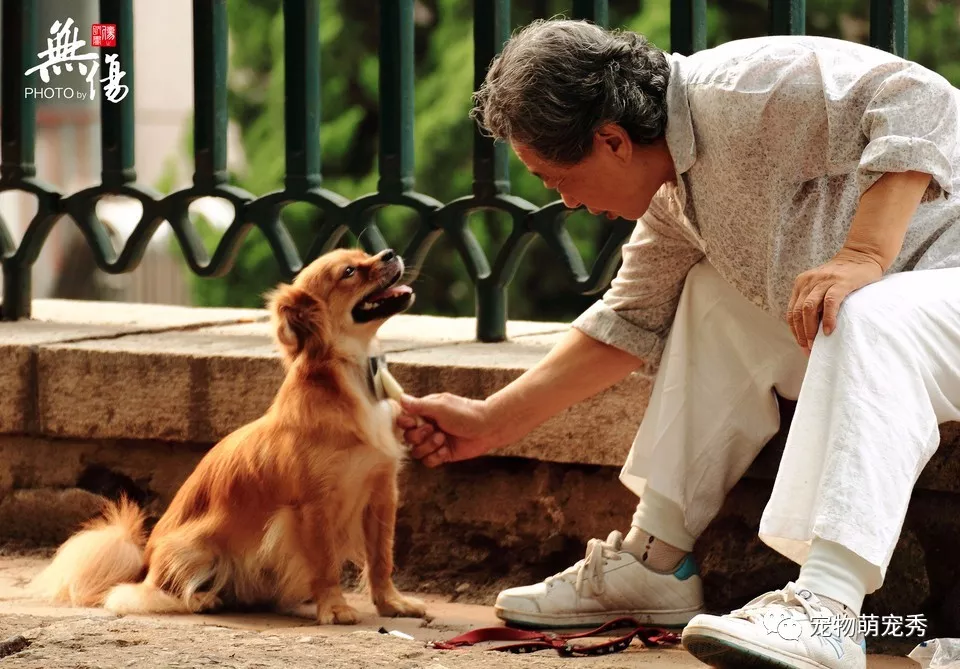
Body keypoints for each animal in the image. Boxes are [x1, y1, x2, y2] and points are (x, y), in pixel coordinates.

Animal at [32, 248, 428, 624]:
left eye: (366, 255)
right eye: (349, 272)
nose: (389, 253)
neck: (351, 377)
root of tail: (143, 562)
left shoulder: (381, 492)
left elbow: (381, 558)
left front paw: (392, 603)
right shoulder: (314, 507)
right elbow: (326, 563)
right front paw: (334, 607)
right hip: (193, 548)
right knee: (156, 591)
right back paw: (202, 598)